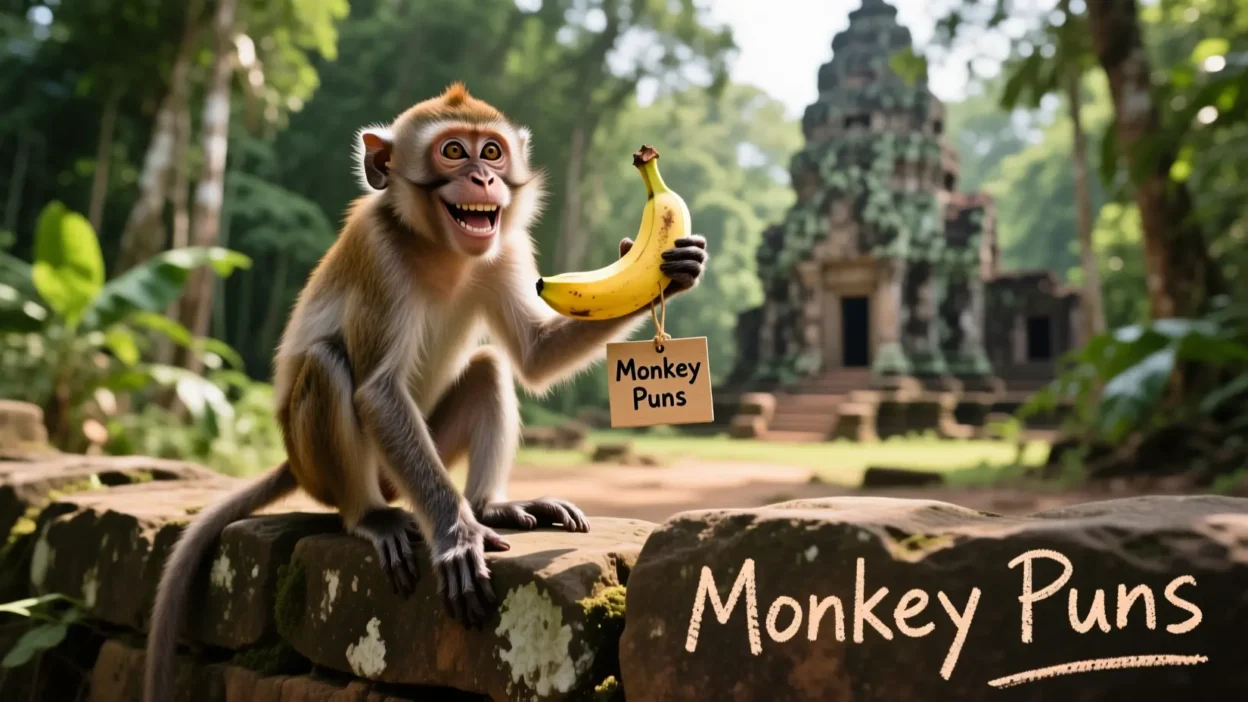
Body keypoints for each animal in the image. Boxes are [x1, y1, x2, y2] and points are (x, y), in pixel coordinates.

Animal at [143, 82, 707, 702]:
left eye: (493, 152)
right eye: (454, 152)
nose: (483, 178)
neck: (440, 248)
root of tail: (293, 462)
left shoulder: (505, 247)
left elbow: (533, 354)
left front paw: (675, 268)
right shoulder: (378, 251)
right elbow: (378, 392)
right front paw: (457, 535)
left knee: (488, 367)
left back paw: (491, 506)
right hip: (329, 465)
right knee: (329, 366)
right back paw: (374, 516)